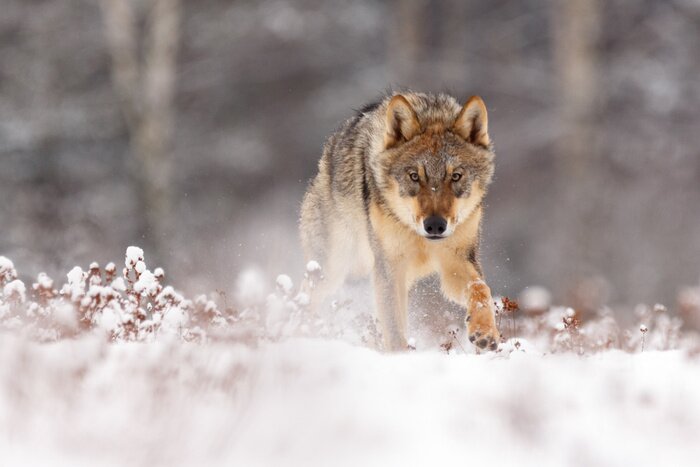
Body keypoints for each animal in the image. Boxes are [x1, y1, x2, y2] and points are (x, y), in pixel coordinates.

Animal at [300, 91, 500, 351]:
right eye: (414, 176)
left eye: (456, 176)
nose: (435, 225)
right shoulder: (389, 266)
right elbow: (394, 330)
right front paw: (400, 357)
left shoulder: (457, 260)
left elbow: (481, 288)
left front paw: (485, 331)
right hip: (333, 269)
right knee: (304, 299)